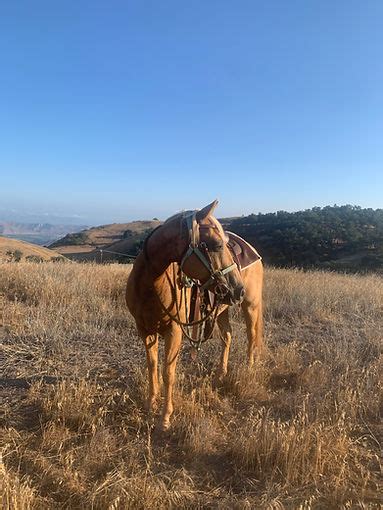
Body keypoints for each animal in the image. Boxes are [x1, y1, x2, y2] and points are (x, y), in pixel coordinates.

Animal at [126, 199, 264, 430]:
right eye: (217, 245)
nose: (238, 290)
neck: (151, 285)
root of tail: (252, 249)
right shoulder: (144, 330)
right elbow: (152, 366)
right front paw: (150, 404)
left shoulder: (174, 331)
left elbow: (168, 372)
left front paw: (165, 418)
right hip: (222, 309)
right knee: (227, 337)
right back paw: (220, 374)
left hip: (251, 305)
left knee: (251, 337)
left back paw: (249, 369)